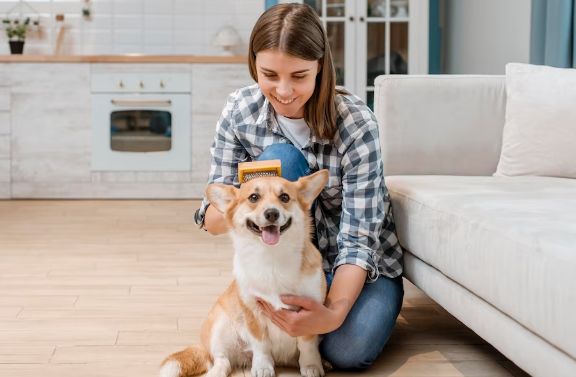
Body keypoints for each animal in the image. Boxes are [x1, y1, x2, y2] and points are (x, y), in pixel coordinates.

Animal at [161, 170, 328, 376]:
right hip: (220, 327)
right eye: (254, 197)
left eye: (285, 197)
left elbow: (307, 344)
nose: (272, 213)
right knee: (222, 360)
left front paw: (311, 365)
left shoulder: (310, 313)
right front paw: (262, 367)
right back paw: (216, 371)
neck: (272, 256)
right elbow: (261, 345)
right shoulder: (252, 311)